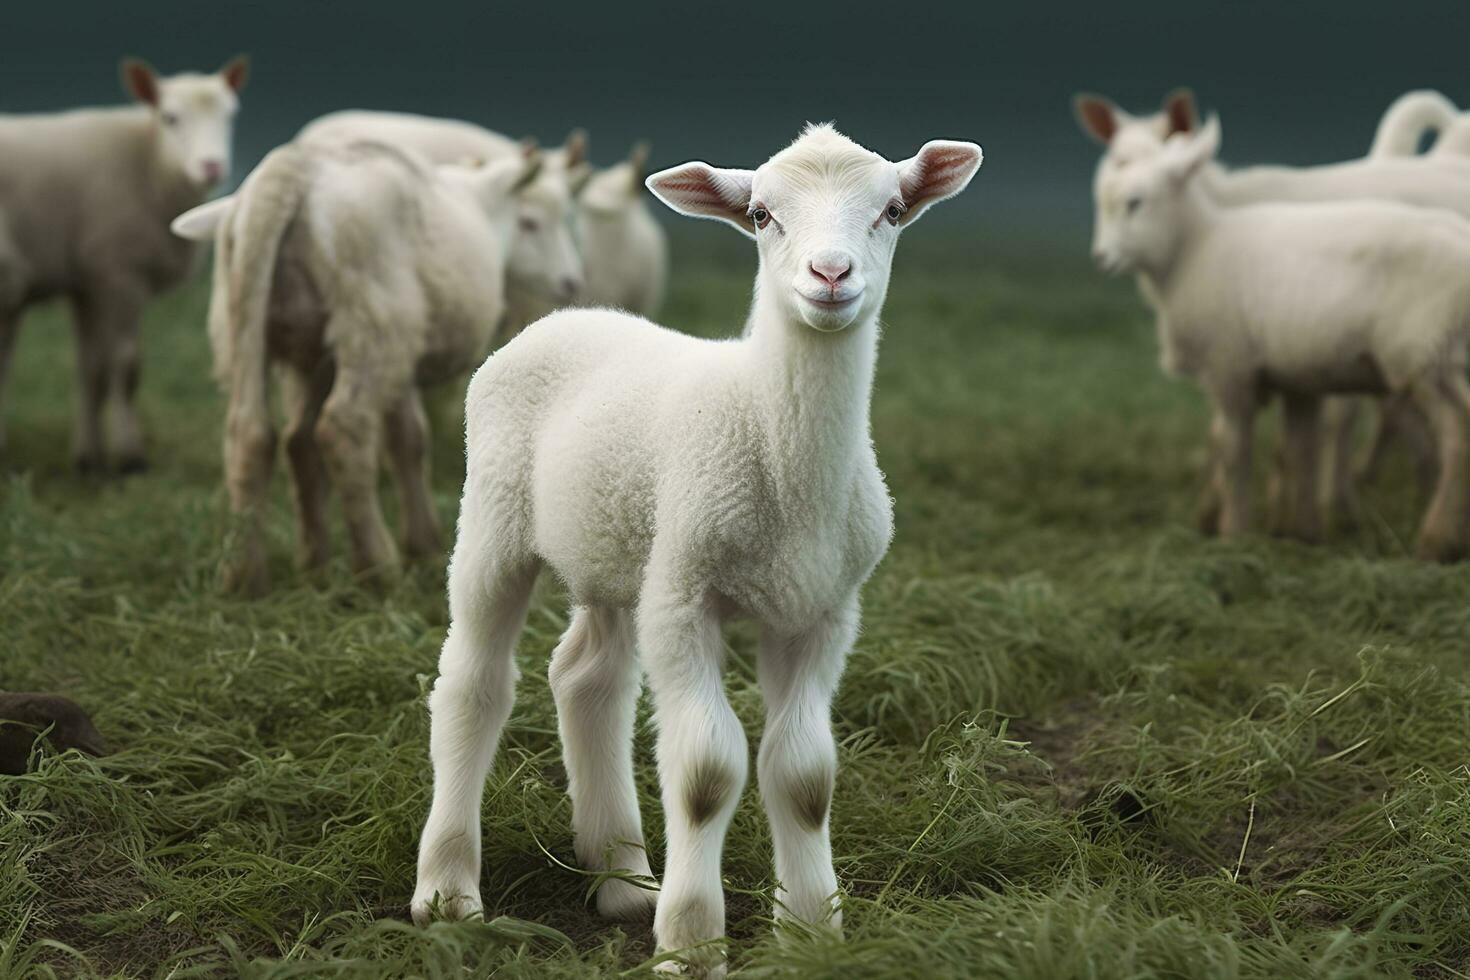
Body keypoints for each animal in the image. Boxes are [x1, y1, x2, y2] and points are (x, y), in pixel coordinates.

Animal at [0, 55, 249, 473]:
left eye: (231, 115)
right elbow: (127, 364)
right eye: (169, 117)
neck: (148, 164)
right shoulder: (118, 272)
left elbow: (90, 369)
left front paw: (88, 457)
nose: (212, 166)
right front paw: (131, 456)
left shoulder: (86, 282)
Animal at [168, 141, 546, 593]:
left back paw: (254, 577)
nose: (571, 283)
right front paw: (422, 546)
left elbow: (390, 440)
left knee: (253, 431)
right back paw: (376, 570)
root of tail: (289, 169)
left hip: (245, 320)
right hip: (374, 320)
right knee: (342, 429)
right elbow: (409, 441)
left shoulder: (327, 361)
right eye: (532, 222)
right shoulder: (399, 350)